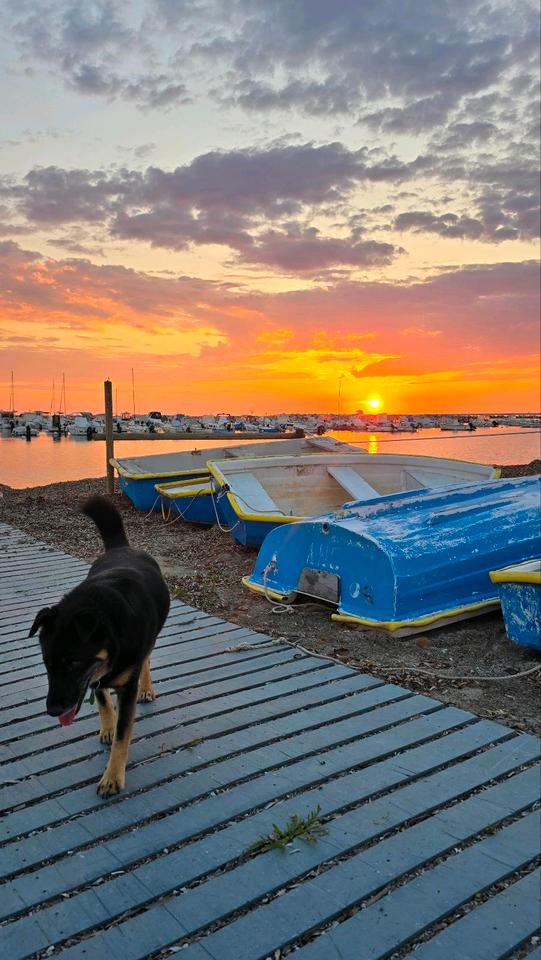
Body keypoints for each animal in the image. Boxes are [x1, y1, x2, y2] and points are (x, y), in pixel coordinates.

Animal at [29, 495, 170, 797]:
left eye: (73, 662)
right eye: (46, 662)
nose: (52, 711)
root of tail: (121, 547)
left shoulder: (126, 688)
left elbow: (123, 736)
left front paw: (113, 776)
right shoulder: (95, 679)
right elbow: (104, 702)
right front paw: (107, 727)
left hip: (150, 640)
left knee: (147, 660)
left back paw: (147, 688)